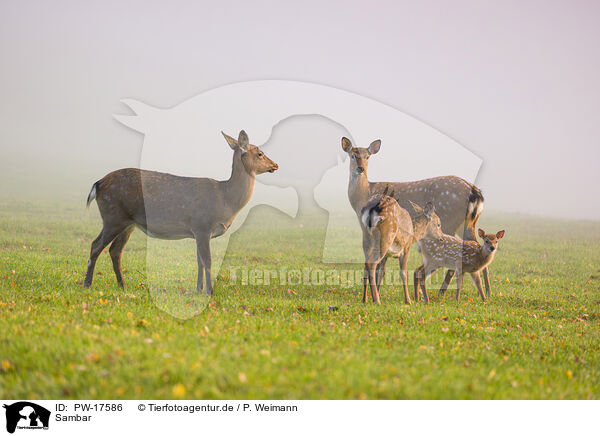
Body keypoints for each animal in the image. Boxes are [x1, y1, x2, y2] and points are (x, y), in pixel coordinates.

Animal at [82, 127, 278, 294]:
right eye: (260, 153)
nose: (275, 165)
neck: (226, 200)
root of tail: (97, 185)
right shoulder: (202, 225)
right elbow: (207, 261)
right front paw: (209, 292)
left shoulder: (198, 232)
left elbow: (199, 262)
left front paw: (198, 290)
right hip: (113, 216)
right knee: (95, 245)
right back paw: (87, 284)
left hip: (128, 222)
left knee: (115, 250)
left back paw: (122, 285)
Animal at [340, 137, 490, 300]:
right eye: (352, 155)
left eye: (367, 156)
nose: (360, 168)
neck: (364, 195)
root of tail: (476, 193)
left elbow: (380, 266)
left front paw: (376, 295)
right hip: (469, 223)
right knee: (477, 243)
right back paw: (486, 292)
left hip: (449, 220)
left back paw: (441, 292)